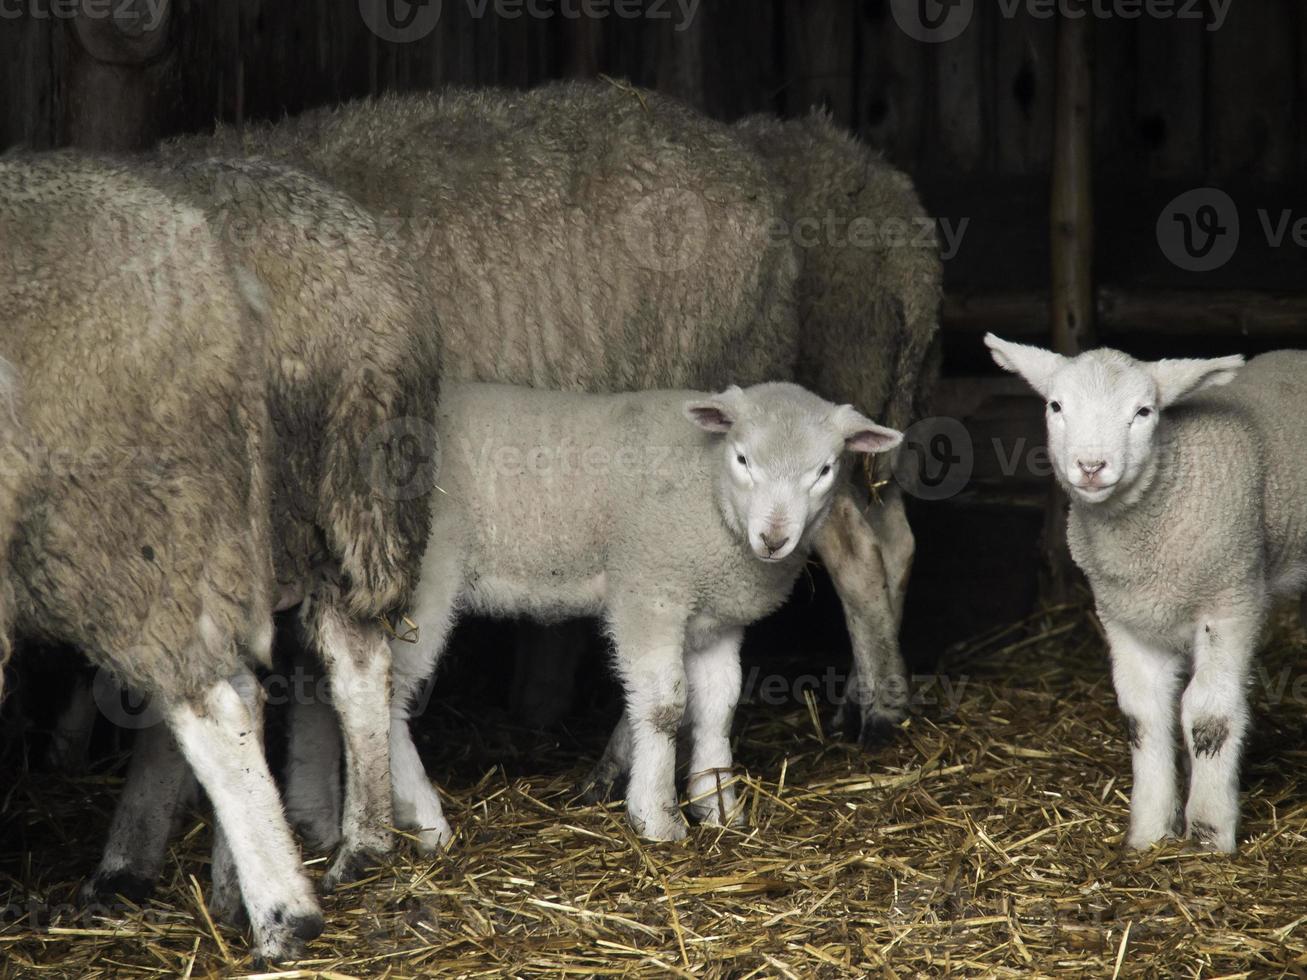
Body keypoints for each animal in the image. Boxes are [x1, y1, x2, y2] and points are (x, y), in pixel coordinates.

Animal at [386, 378, 904, 841]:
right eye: (742, 459)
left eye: (824, 470)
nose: (774, 539)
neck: (709, 487)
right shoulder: (650, 590)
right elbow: (664, 707)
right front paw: (657, 817)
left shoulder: (716, 618)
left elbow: (720, 706)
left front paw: (718, 806)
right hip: (427, 579)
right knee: (391, 694)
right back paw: (427, 822)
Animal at [982, 334, 1301, 857]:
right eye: (1055, 406)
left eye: (1144, 411)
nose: (1091, 466)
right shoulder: (1127, 616)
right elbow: (1142, 715)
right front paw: (1150, 833)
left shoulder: (1231, 600)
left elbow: (1208, 715)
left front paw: (1209, 834)